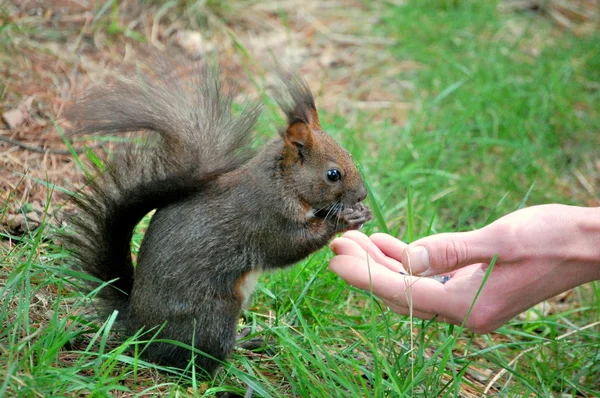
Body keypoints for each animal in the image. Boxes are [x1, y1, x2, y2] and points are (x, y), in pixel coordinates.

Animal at [65, 60, 372, 378]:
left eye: (349, 154)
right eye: (333, 174)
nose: (362, 195)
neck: (282, 182)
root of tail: (140, 330)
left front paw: (360, 213)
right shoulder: (265, 219)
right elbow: (288, 247)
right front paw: (341, 221)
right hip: (214, 317)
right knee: (196, 362)